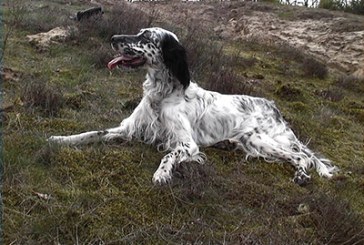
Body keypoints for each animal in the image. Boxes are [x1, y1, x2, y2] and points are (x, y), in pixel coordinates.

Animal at [48, 27, 338, 185]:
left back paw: (301, 176)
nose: (112, 36)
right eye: (138, 33)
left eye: (146, 37)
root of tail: (273, 106)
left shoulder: (187, 144)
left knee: (301, 156)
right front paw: (60, 139)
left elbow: (169, 154)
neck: (162, 94)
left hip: (258, 139)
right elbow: (91, 132)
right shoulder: (130, 128)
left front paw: (162, 174)